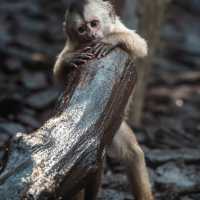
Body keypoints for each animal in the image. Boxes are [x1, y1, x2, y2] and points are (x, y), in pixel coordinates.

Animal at [53, 0, 153, 200]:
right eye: (82, 29)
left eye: (94, 24)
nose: (92, 35)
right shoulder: (73, 45)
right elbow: (59, 75)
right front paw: (69, 60)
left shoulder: (118, 27)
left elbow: (141, 45)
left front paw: (111, 41)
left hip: (115, 126)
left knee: (133, 154)